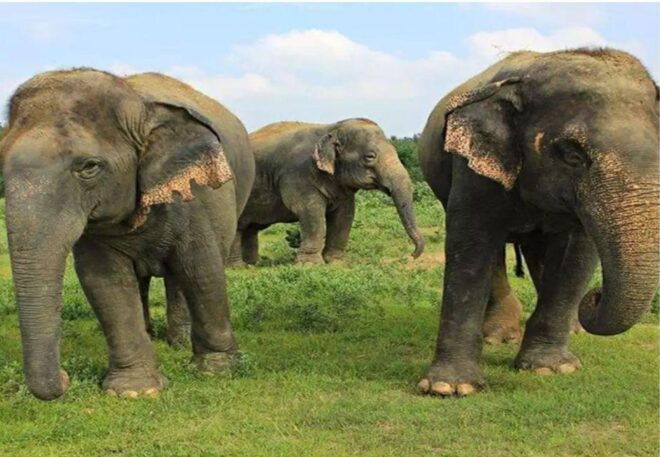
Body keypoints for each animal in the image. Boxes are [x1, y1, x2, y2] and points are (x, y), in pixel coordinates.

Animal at [0, 68, 255, 400]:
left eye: (89, 167)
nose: (66, 377)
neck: (139, 106)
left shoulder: (196, 195)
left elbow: (201, 268)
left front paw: (217, 371)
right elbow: (104, 280)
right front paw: (136, 391)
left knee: (181, 274)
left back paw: (179, 343)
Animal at [228, 118, 425, 265]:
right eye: (370, 157)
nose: (411, 255)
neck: (331, 128)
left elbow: (345, 215)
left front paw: (336, 262)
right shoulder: (297, 175)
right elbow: (310, 212)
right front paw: (309, 265)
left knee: (250, 228)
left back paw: (254, 264)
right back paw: (238, 267)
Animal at [417, 48, 659, 397]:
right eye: (573, 156)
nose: (596, 296)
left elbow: (575, 256)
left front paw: (551, 368)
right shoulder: (472, 165)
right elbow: (471, 244)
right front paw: (448, 388)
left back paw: (572, 330)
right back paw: (499, 336)